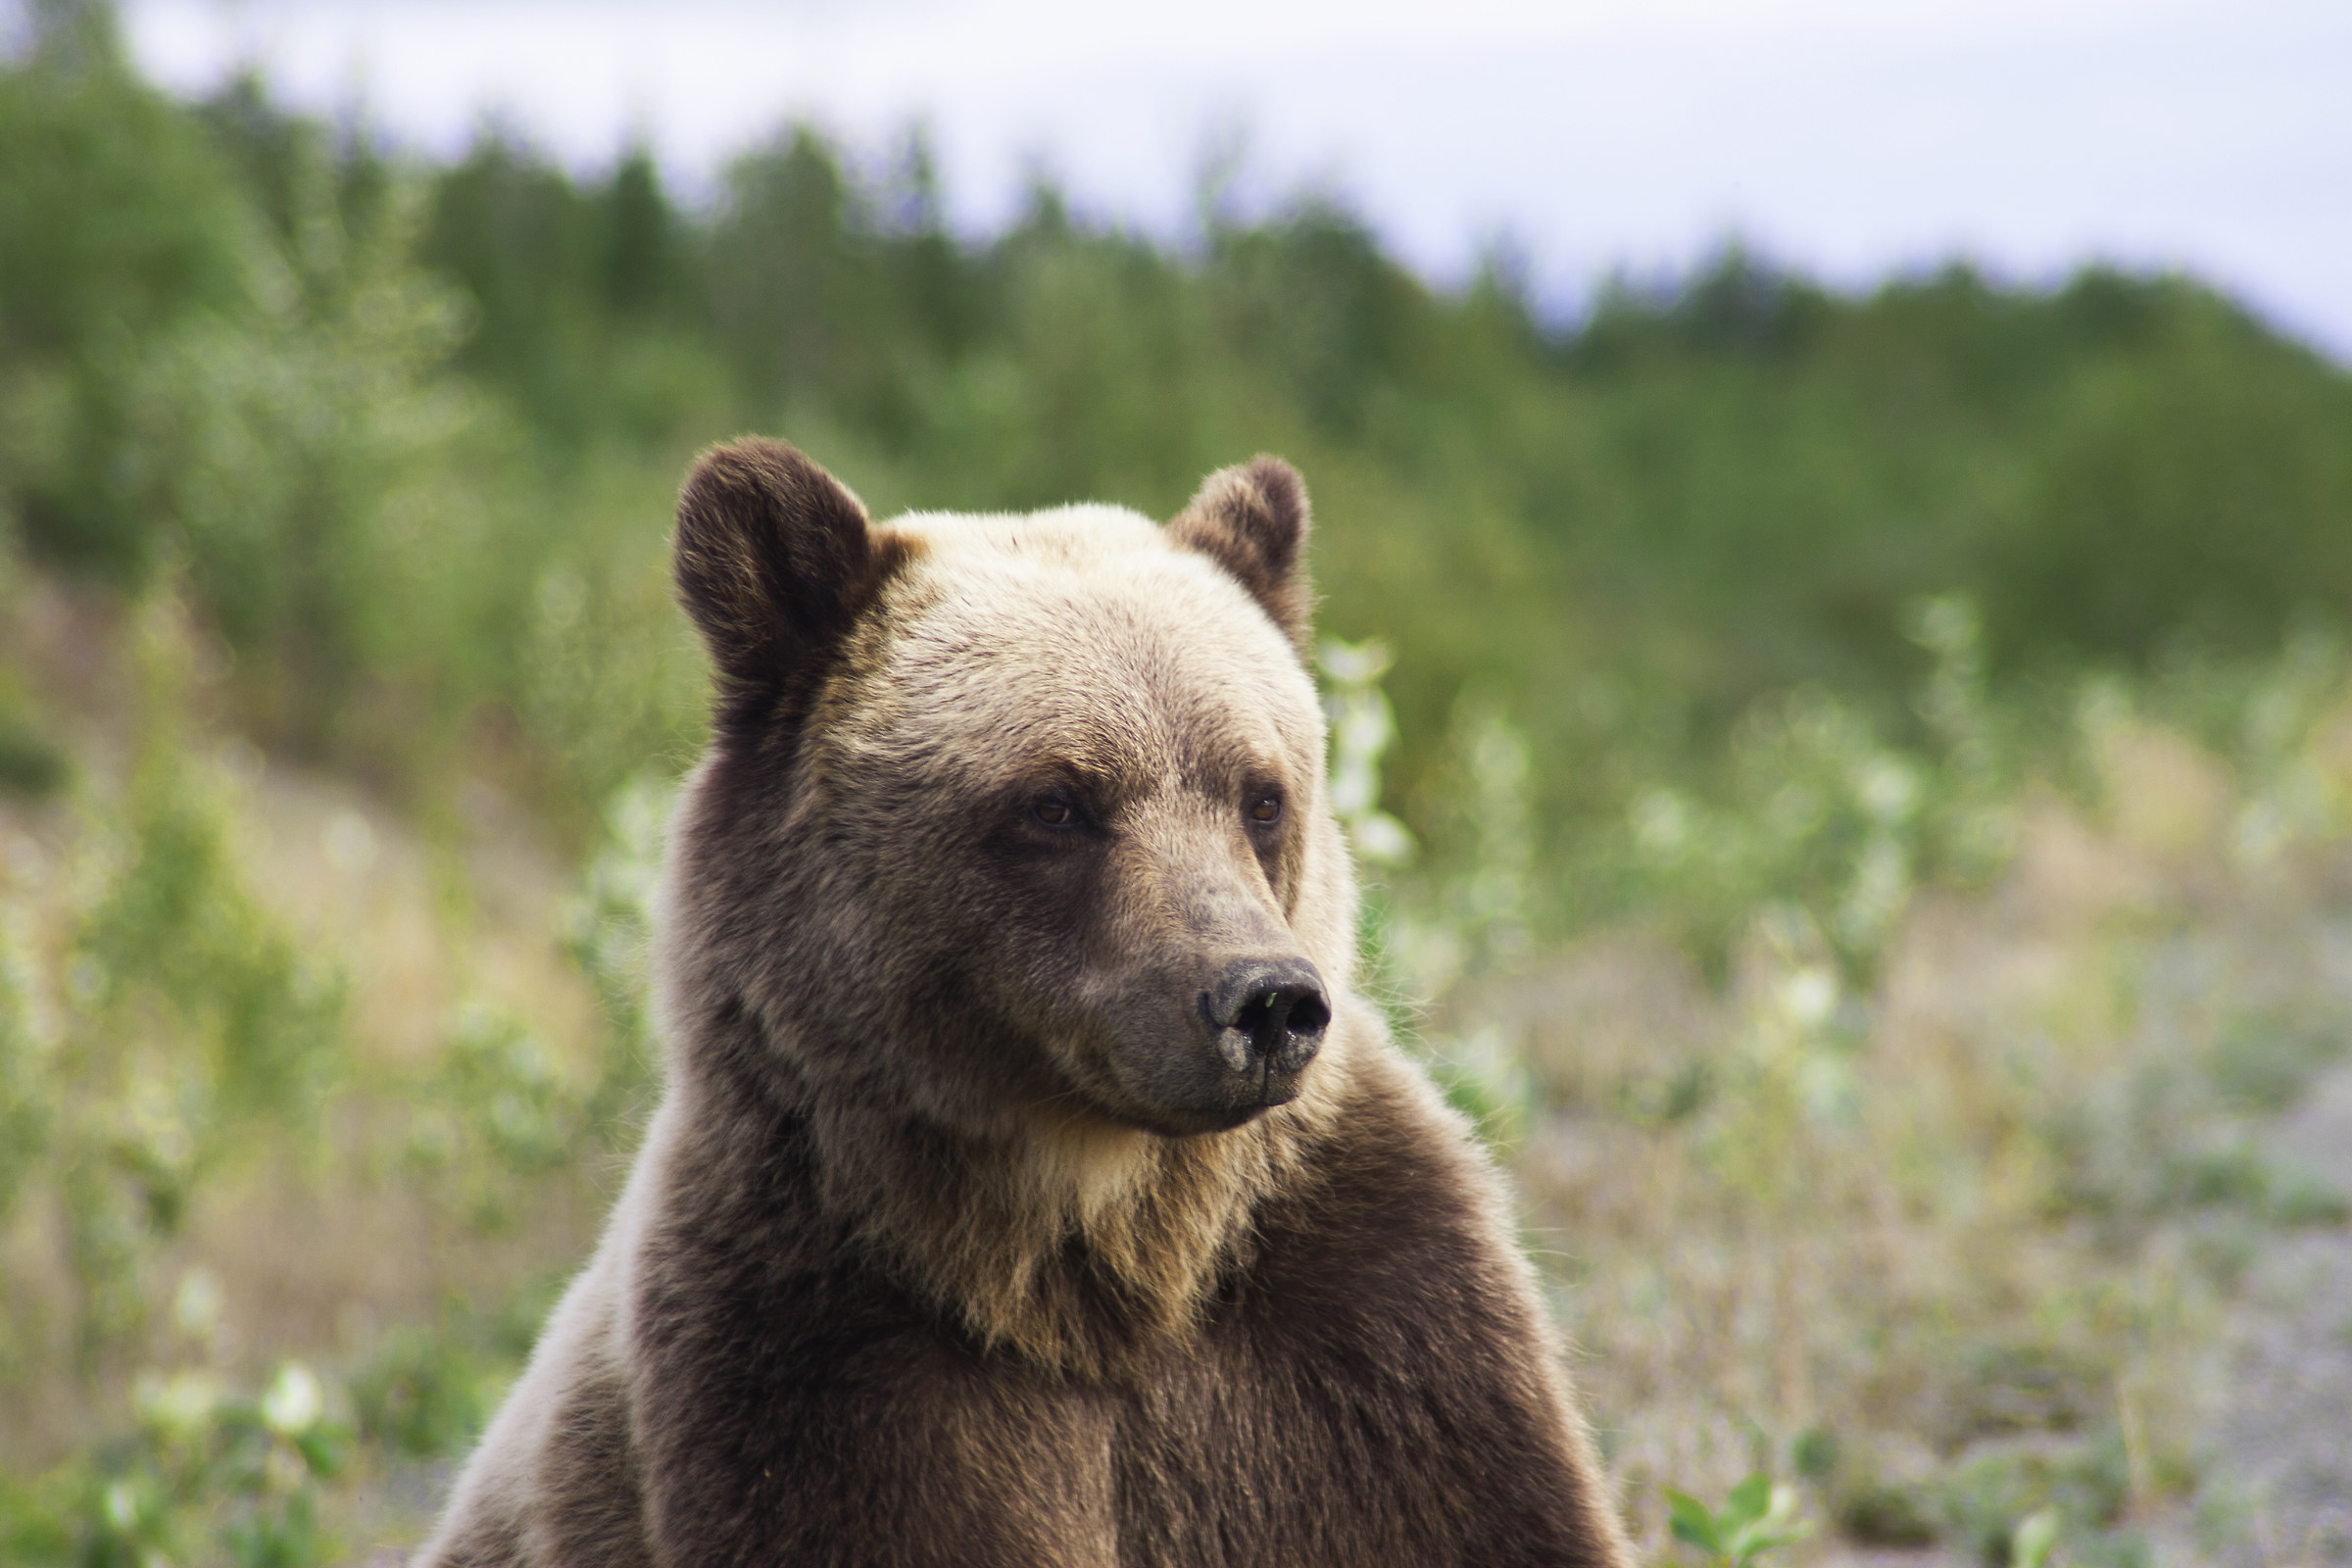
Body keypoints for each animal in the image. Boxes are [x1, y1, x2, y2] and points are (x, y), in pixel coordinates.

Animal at [411, 438, 1635, 1568]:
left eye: (1261, 793)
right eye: (1057, 801)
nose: (1267, 1001)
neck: (1087, 1269)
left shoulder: (1375, 1350)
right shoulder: (805, 1361)